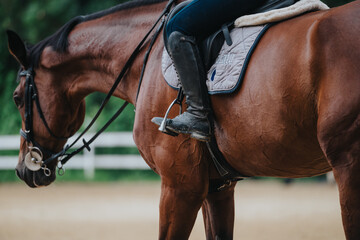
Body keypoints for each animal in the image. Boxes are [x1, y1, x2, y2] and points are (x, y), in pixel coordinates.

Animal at [5, 0, 360, 238]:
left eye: (18, 97)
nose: (24, 169)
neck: (143, 57)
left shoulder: (180, 185)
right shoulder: (216, 186)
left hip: (348, 166)